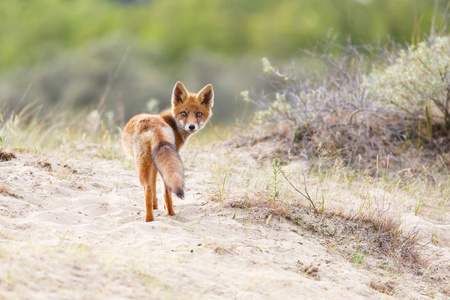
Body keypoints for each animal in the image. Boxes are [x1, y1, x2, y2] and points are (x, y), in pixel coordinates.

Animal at [122, 81, 214, 221]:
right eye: (183, 113)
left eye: (199, 114)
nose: (191, 126)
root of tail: (155, 127)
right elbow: (158, 188)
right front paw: (161, 208)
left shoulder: (155, 164)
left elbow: (154, 187)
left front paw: (156, 206)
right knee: (160, 190)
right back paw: (167, 214)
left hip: (144, 164)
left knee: (149, 189)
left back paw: (151, 219)